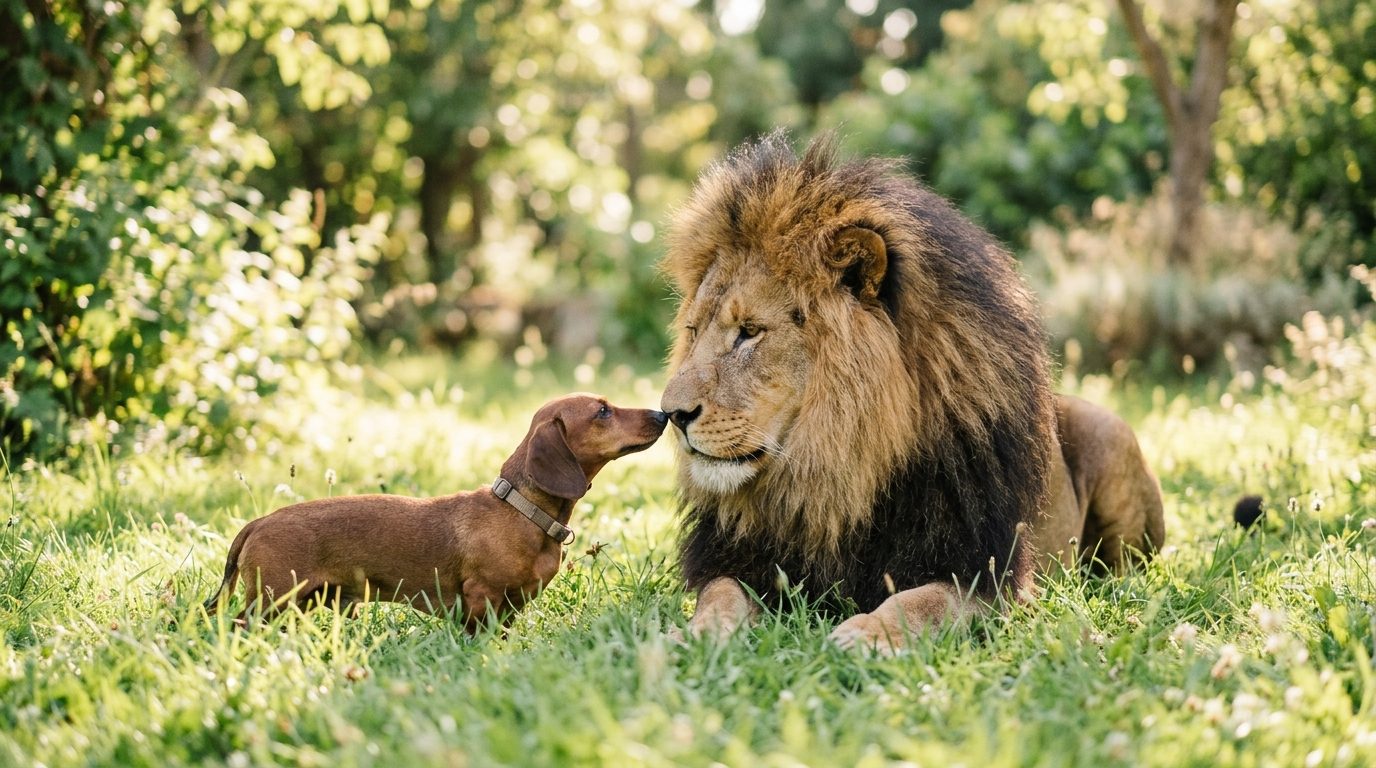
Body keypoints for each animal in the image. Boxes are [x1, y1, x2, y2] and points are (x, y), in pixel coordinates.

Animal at [659, 133, 1164, 652]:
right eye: (693, 331)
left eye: (749, 332)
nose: (669, 414)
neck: (831, 467)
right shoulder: (741, 560)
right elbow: (720, 593)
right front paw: (699, 633)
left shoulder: (984, 574)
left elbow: (920, 601)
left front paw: (863, 633)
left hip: (1111, 438)